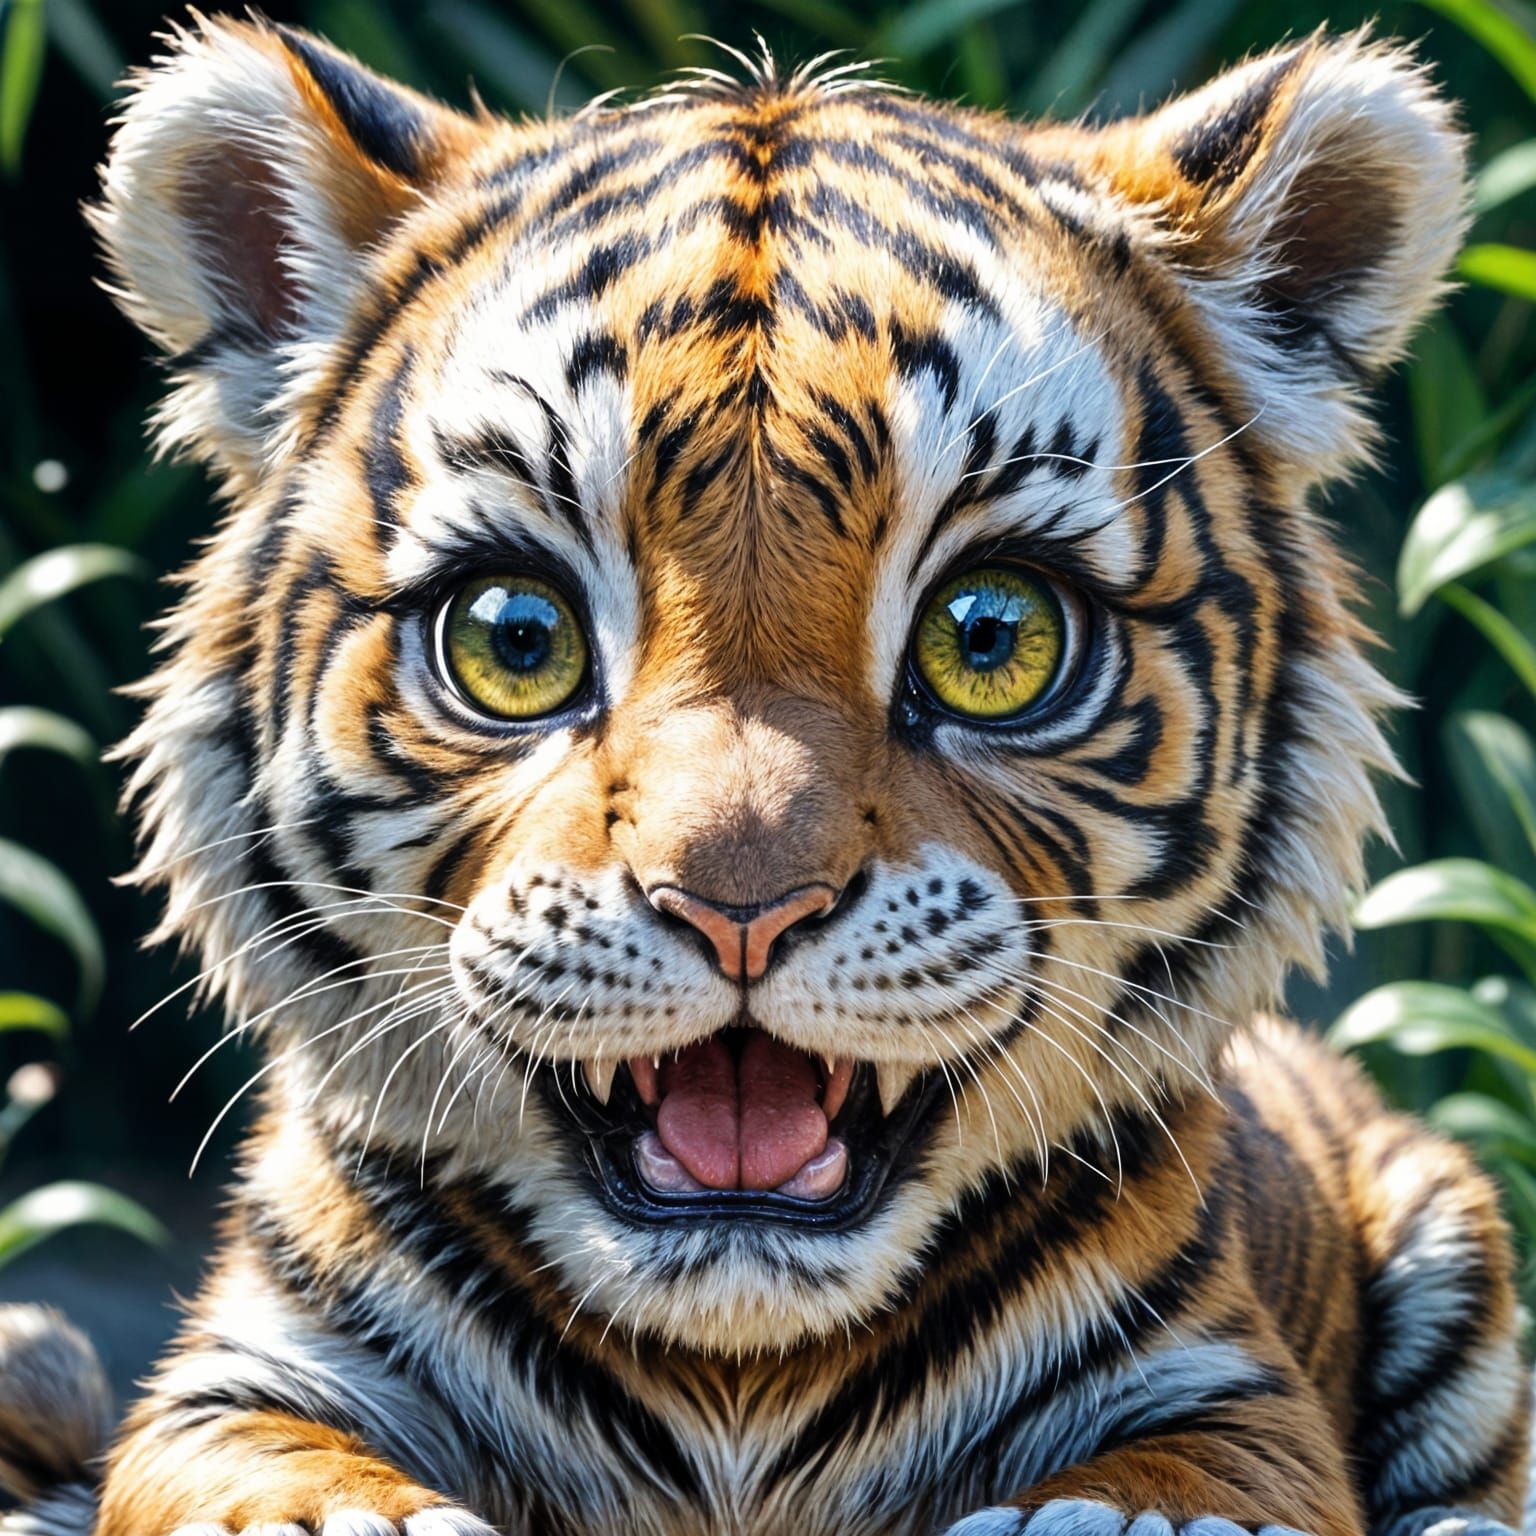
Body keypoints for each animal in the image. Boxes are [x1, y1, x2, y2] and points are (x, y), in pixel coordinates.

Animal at [0, 13, 1526, 1536]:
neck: (738, 1377)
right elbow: (268, 1476)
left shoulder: (1229, 1394)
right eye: (515, 638)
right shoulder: (242, 1382)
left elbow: (1171, 1488)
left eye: (991, 636)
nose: (741, 909)